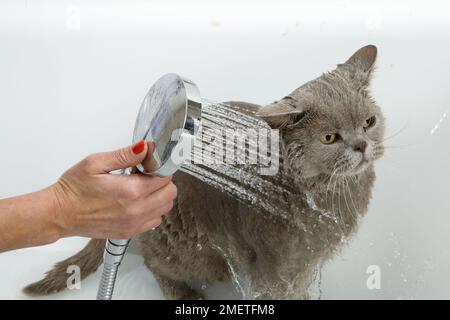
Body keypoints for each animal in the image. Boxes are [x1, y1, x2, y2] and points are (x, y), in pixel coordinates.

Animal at [23, 45, 384, 300]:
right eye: (329, 138)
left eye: (369, 122)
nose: (361, 145)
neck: (325, 197)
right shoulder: (274, 268)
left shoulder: (308, 263)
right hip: (189, 247)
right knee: (154, 262)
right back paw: (185, 293)